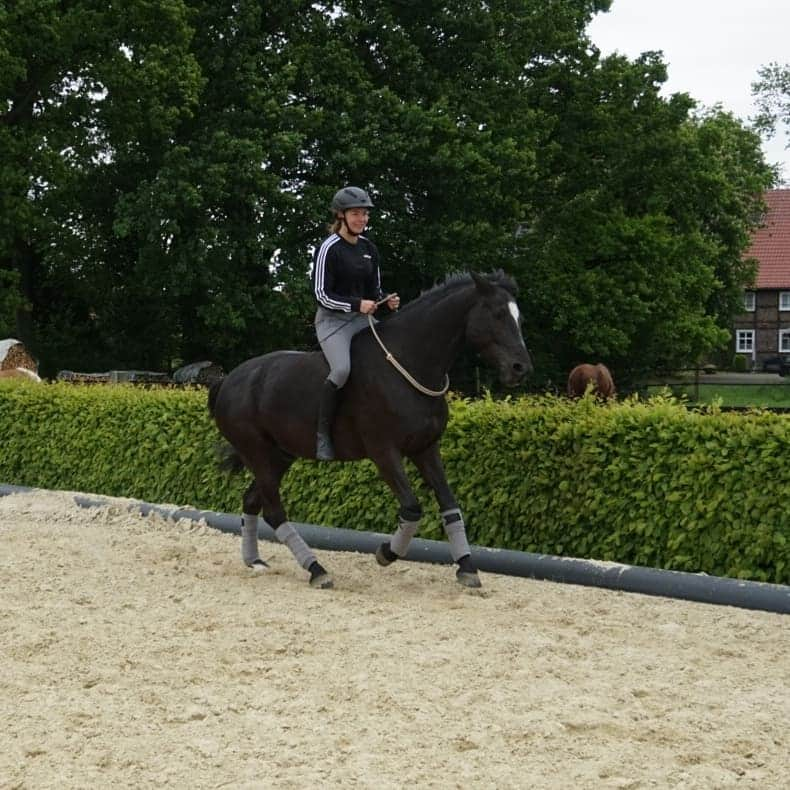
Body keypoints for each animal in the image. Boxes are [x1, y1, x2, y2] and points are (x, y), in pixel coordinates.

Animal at [207, 272, 536, 588]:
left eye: (519, 318)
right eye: (497, 314)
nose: (521, 368)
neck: (408, 364)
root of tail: (229, 380)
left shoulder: (425, 449)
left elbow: (450, 505)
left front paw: (467, 568)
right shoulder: (384, 452)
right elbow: (412, 508)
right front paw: (386, 553)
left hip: (279, 457)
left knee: (252, 501)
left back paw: (255, 561)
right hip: (259, 455)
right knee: (274, 512)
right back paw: (317, 570)